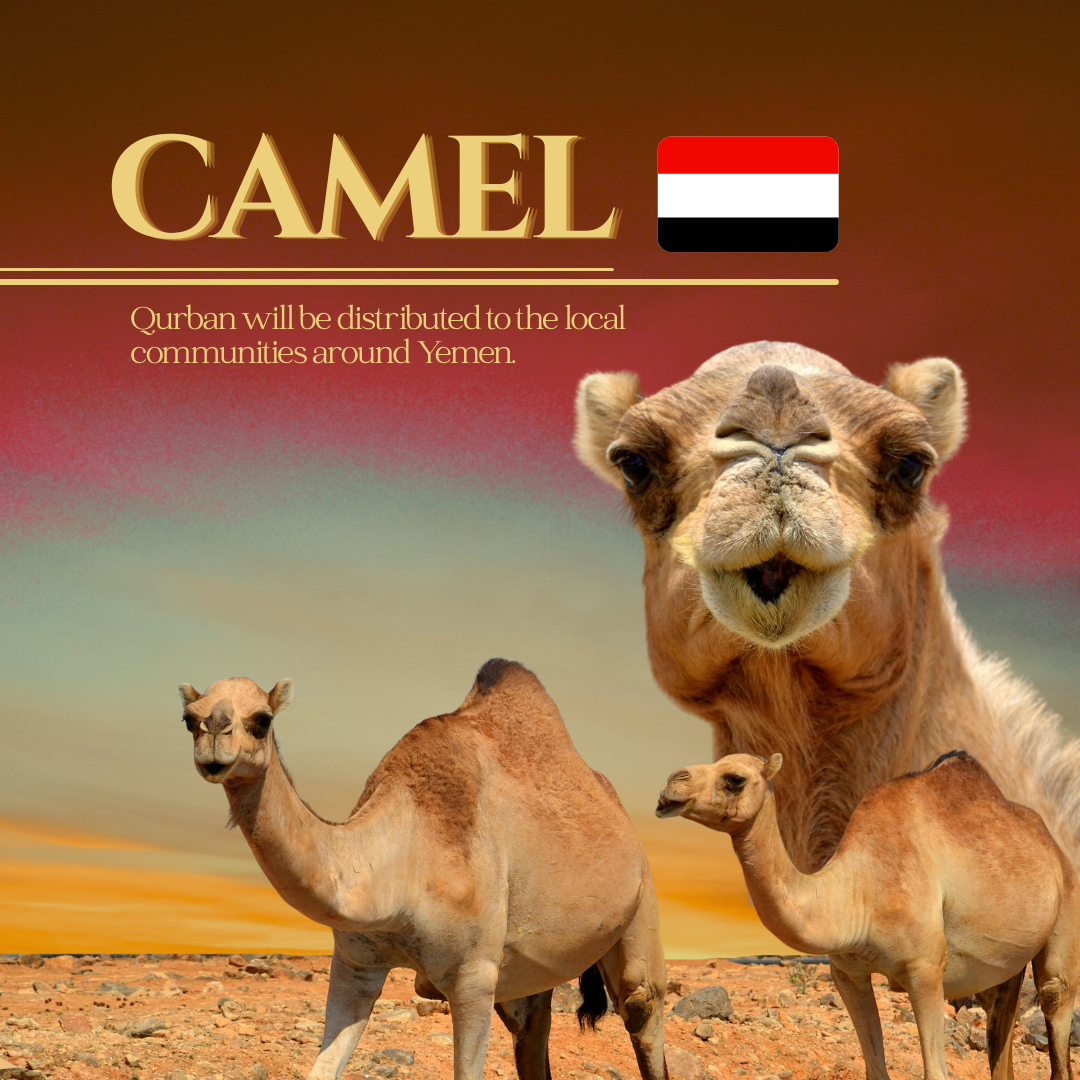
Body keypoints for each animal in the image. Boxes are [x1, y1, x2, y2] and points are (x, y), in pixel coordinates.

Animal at [178, 660, 668, 1080]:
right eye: (188, 718)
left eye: (262, 720)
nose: (214, 735)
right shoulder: (356, 963)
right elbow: (323, 1067)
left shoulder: (474, 974)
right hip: (531, 972)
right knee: (532, 1026)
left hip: (641, 899)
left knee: (640, 1004)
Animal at [656, 749, 1080, 1080]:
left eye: (735, 779)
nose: (670, 784)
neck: (856, 894)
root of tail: (1053, 847)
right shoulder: (847, 971)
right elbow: (875, 1067)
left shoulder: (925, 967)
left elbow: (934, 1070)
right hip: (1005, 963)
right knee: (1000, 1021)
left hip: (1066, 911)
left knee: (1055, 1000)